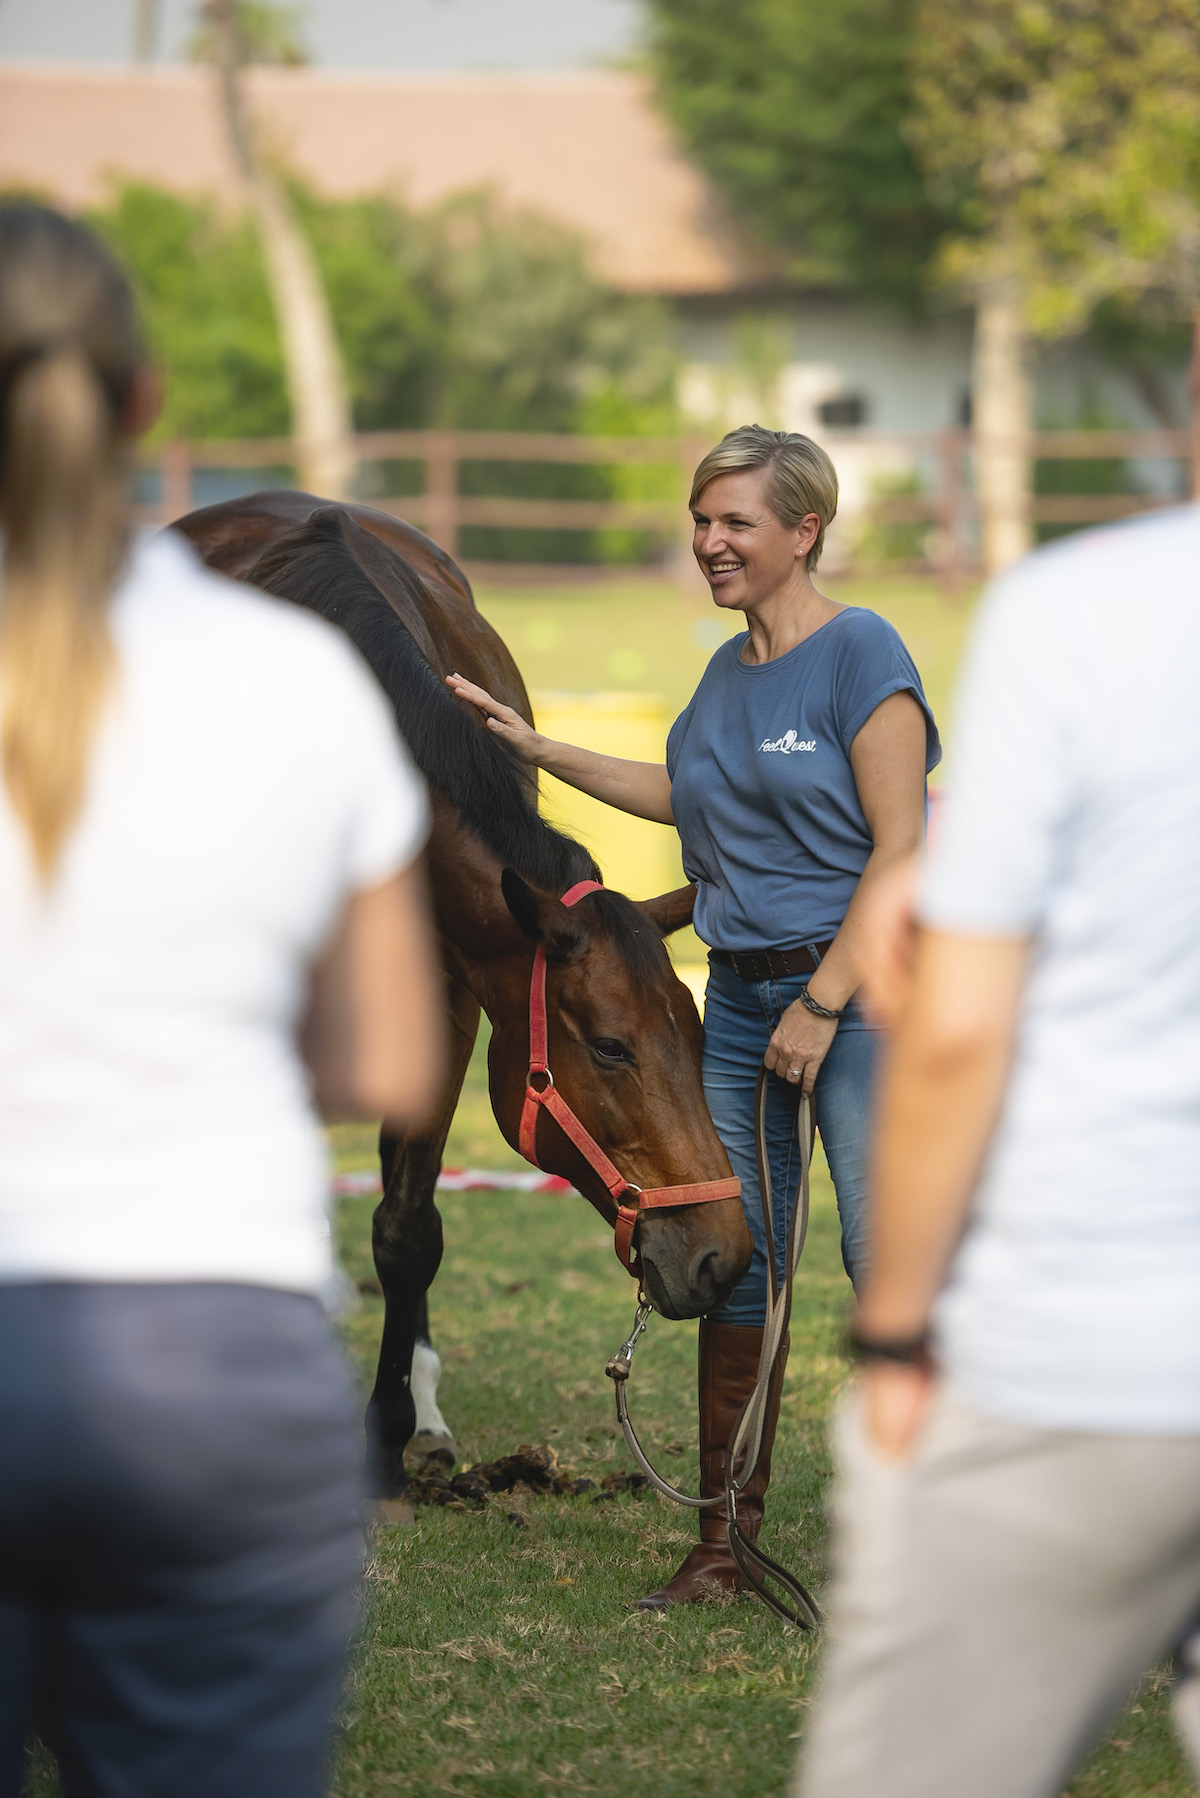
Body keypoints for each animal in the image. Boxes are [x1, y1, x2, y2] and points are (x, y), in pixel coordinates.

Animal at [170, 492, 752, 1503]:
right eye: (610, 1045)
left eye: (694, 1028)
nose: (722, 1254)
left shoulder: (445, 1009)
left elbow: (408, 1229)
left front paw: (388, 1437)